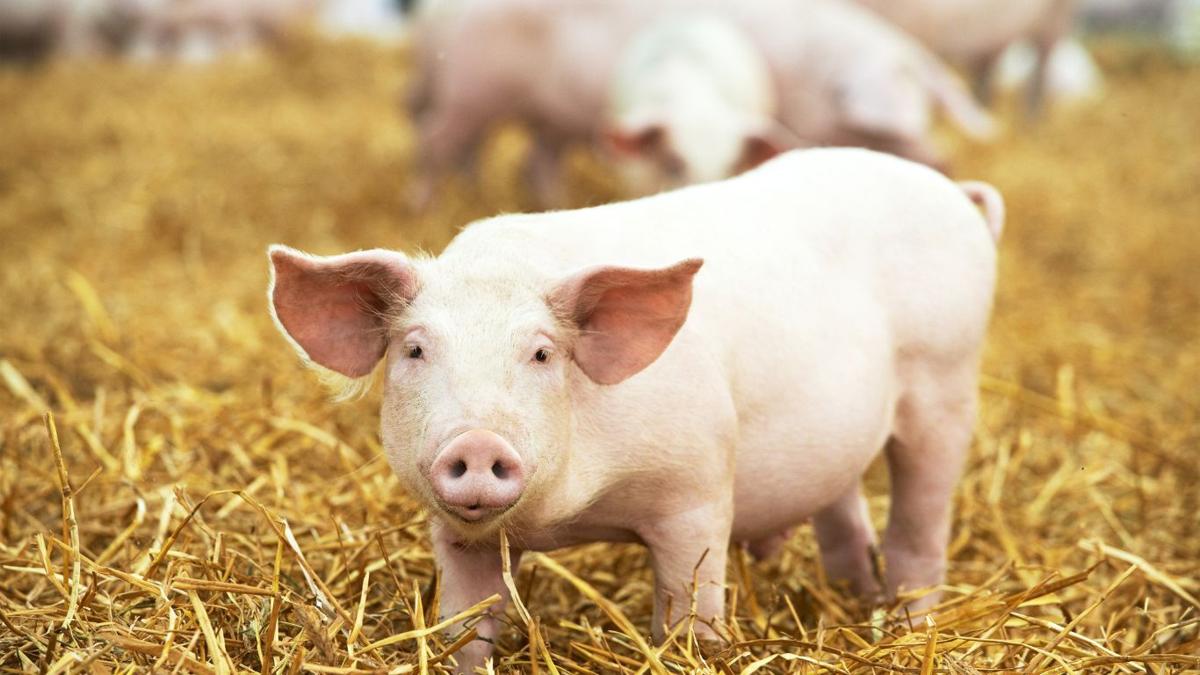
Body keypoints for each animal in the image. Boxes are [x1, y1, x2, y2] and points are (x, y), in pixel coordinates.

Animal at [268, 147, 1004, 673]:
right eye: (415, 349)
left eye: (542, 353)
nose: (477, 442)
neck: (568, 517)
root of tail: (954, 195)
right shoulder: (457, 535)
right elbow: (466, 628)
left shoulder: (697, 491)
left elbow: (689, 613)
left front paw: (696, 650)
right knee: (845, 513)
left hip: (947, 384)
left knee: (919, 527)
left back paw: (909, 625)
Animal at [849, 0, 1080, 113]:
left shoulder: (922, 32)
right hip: (995, 37)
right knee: (987, 73)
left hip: (1055, 19)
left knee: (1042, 69)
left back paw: (1032, 128)